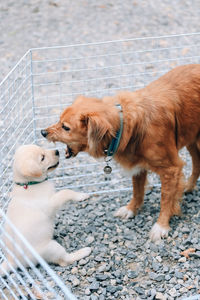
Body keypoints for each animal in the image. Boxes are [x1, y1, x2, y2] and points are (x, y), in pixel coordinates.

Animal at [0, 144, 91, 276]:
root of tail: (12, 261)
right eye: (42, 158)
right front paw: (81, 196)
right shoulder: (50, 204)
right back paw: (84, 251)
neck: (30, 184)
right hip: (51, 248)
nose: (57, 151)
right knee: (64, 260)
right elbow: (65, 192)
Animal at [41, 64, 200, 243]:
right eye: (59, 120)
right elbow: (137, 191)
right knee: (197, 162)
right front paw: (131, 209)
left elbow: (165, 199)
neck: (124, 127)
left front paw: (161, 226)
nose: (42, 132)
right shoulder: (137, 165)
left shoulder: (170, 169)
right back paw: (189, 186)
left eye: (65, 127)